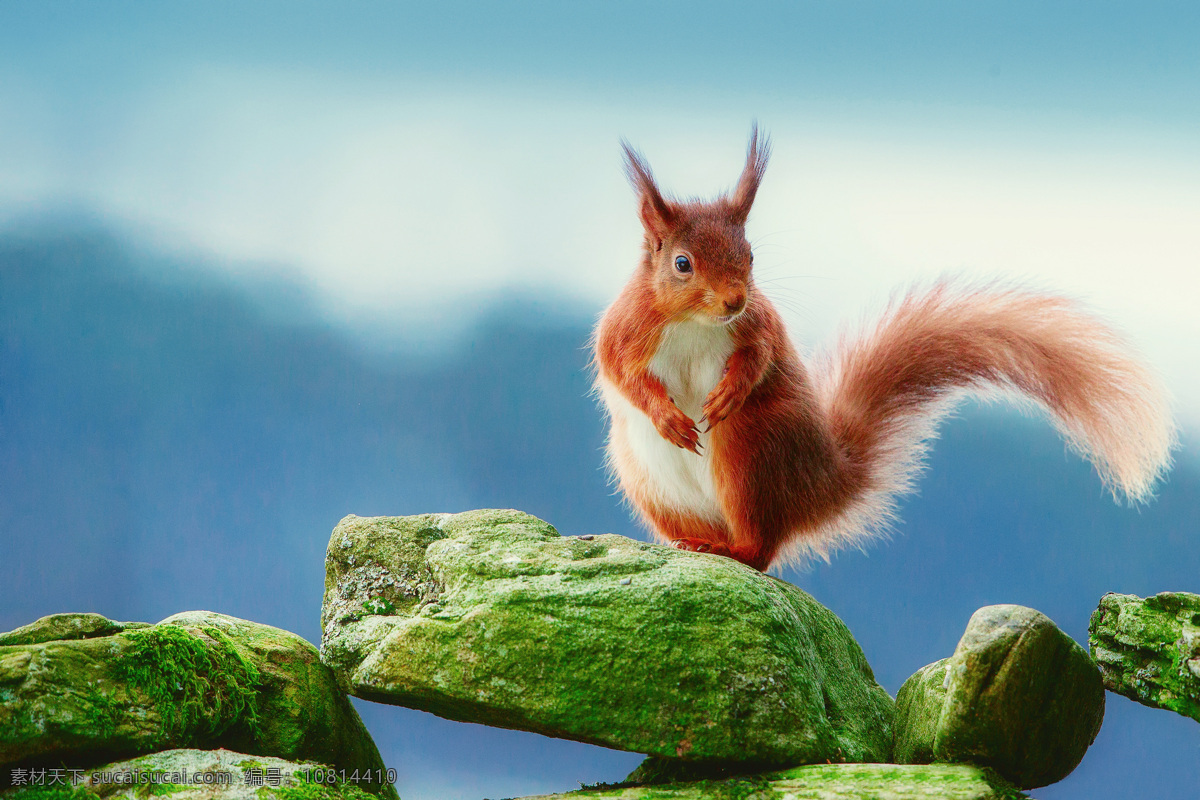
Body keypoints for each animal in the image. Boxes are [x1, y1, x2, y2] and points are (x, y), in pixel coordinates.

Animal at [595, 126, 1176, 568]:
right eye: (682, 263)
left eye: (751, 255)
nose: (735, 300)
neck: (695, 321)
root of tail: (822, 484)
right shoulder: (627, 329)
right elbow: (618, 371)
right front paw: (667, 416)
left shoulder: (760, 326)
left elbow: (759, 359)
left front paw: (729, 391)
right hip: (646, 476)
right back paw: (695, 542)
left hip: (751, 450)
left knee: (762, 549)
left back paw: (732, 548)